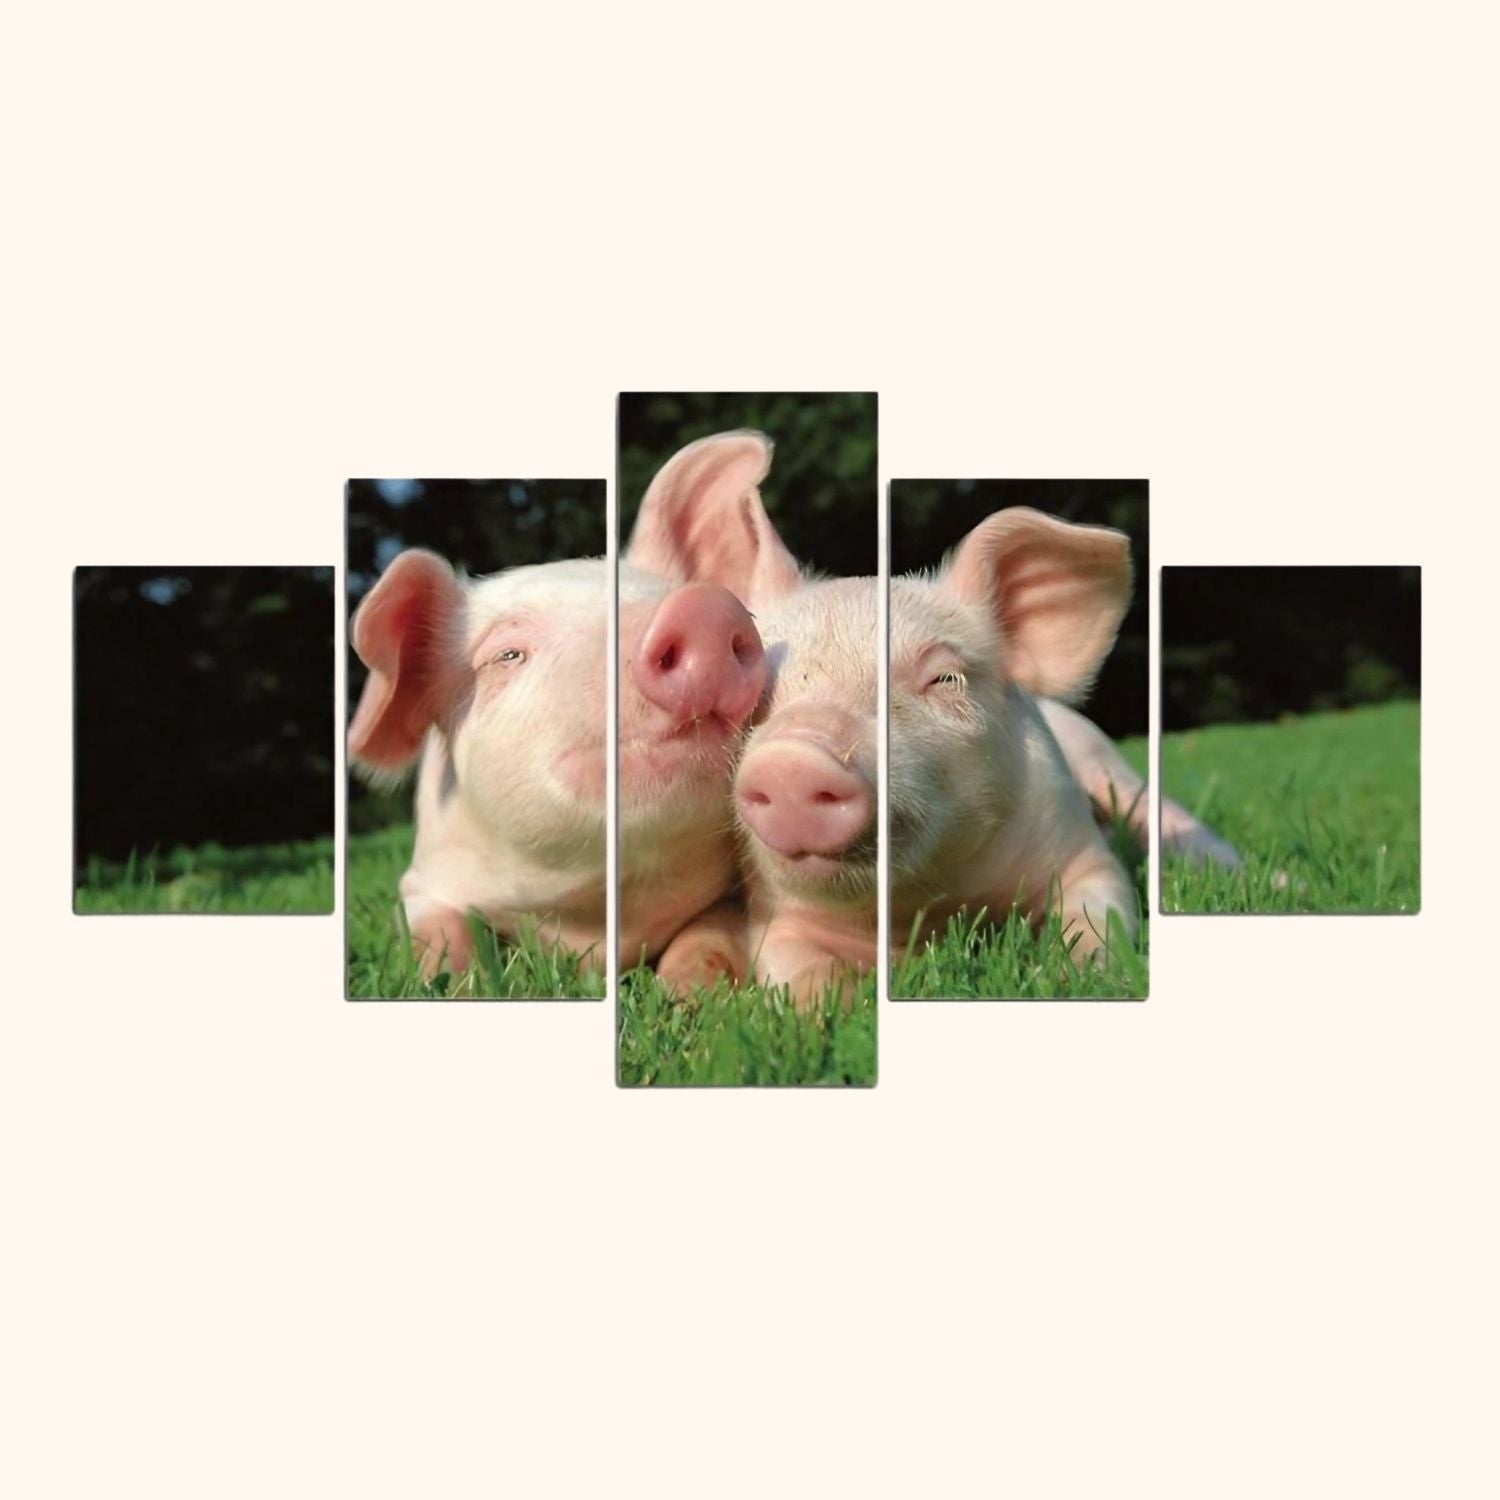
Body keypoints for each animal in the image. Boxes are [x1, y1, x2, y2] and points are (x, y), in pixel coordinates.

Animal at [348, 531, 766, 979]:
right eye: (508, 654)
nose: (706, 608)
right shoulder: (424, 877)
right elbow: (438, 932)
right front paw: (451, 981)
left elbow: (709, 932)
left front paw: (686, 989)